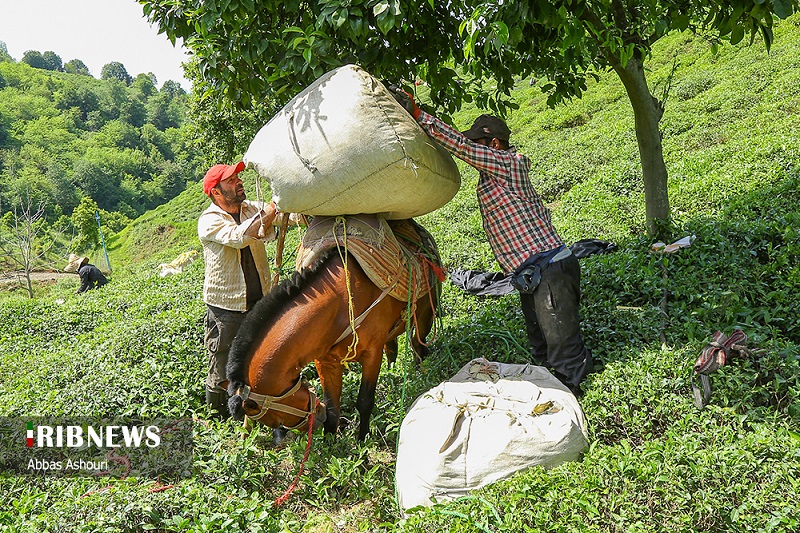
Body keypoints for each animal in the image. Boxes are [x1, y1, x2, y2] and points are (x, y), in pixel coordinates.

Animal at [225, 245, 438, 436]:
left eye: (277, 419)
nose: (317, 418)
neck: (340, 304)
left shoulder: (372, 354)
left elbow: (365, 401)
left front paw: (362, 441)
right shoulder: (326, 362)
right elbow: (333, 408)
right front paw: (331, 444)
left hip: (424, 316)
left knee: (418, 346)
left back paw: (420, 373)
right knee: (392, 349)